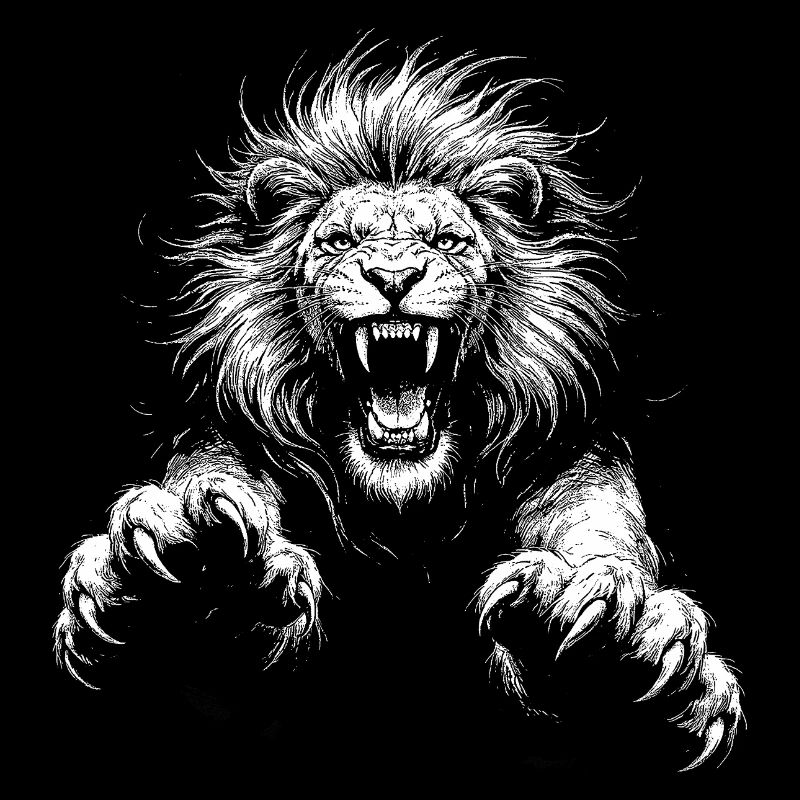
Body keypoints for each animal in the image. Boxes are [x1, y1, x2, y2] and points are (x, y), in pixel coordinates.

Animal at [53, 42, 742, 773]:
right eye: (340, 243)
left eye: (445, 241)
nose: (393, 276)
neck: (405, 515)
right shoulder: (228, 440)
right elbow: (210, 490)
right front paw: (190, 566)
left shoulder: (578, 462)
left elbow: (598, 538)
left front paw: (606, 635)